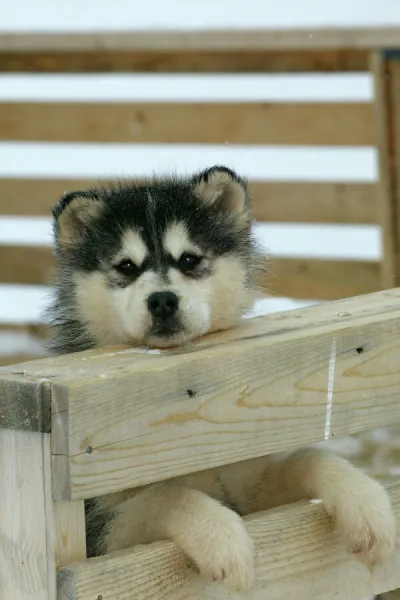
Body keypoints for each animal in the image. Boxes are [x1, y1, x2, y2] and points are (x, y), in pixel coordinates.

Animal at [48, 164, 396, 592]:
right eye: (126, 266)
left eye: (190, 259)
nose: (162, 300)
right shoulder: (99, 535)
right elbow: (166, 492)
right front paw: (222, 539)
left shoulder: (248, 484)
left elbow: (306, 457)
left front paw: (366, 503)